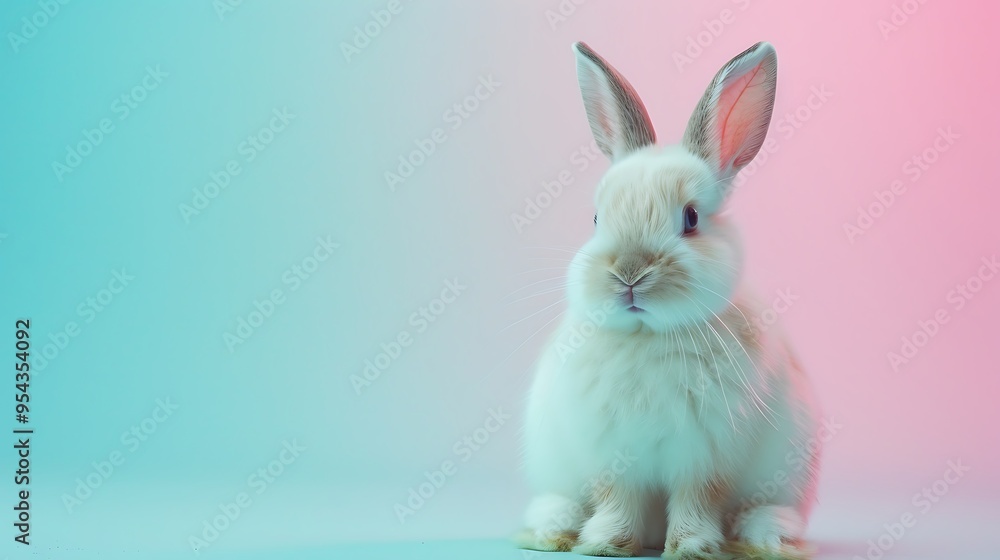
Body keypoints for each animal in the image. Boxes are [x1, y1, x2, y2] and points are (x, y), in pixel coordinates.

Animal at [515, 41, 822, 559]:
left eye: (691, 218)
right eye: (596, 218)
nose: (628, 274)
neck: (648, 336)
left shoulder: (706, 453)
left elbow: (698, 499)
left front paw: (692, 547)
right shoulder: (611, 451)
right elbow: (616, 498)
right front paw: (605, 544)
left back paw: (764, 537)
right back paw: (551, 529)